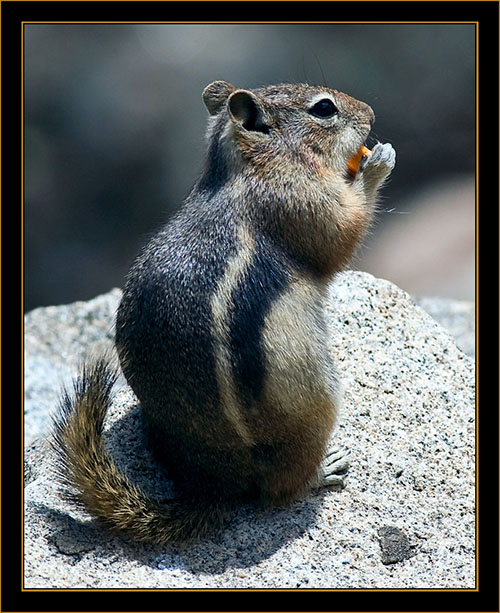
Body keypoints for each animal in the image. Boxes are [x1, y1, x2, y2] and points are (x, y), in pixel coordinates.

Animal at [53, 79, 394, 544]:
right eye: (325, 109)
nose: (372, 113)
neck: (250, 166)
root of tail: (214, 483)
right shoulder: (299, 200)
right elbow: (342, 234)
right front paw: (377, 162)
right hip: (312, 404)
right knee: (279, 491)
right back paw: (324, 470)